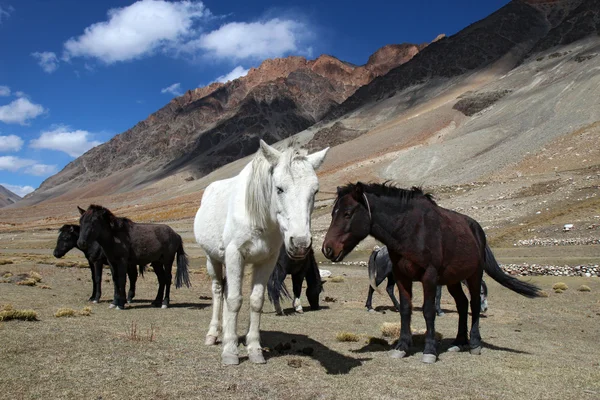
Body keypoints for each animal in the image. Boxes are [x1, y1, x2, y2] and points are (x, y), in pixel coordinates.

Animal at [196, 141, 328, 366]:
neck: (259, 218)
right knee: (218, 291)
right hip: (212, 259)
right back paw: (213, 334)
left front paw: (254, 349)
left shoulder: (266, 261)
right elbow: (234, 300)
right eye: (279, 188)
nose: (300, 243)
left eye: (315, 191)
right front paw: (230, 352)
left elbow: (256, 301)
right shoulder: (235, 255)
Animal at [324, 183, 544, 364]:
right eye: (333, 213)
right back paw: (459, 342)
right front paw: (402, 347)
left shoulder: (429, 277)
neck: (410, 230)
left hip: (473, 275)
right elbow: (406, 309)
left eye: (348, 213)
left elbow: (428, 310)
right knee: (462, 304)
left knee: (472, 304)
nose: (327, 249)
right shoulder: (403, 277)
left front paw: (429, 351)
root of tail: (478, 231)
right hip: (453, 280)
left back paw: (474, 343)